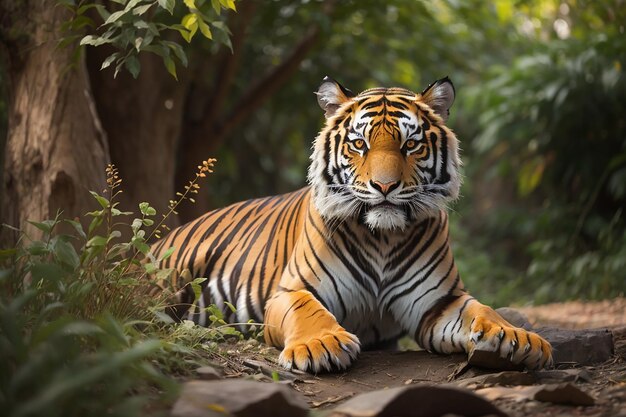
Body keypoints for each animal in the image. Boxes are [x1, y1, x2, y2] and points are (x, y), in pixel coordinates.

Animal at [151, 76, 552, 372]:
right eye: (360, 144)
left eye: (410, 145)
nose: (385, 186)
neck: (383, 238)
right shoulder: (290, 290)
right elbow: (307, 309)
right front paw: (320, 344)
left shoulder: (439, 301)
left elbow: (482, 309)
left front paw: (518, 337)